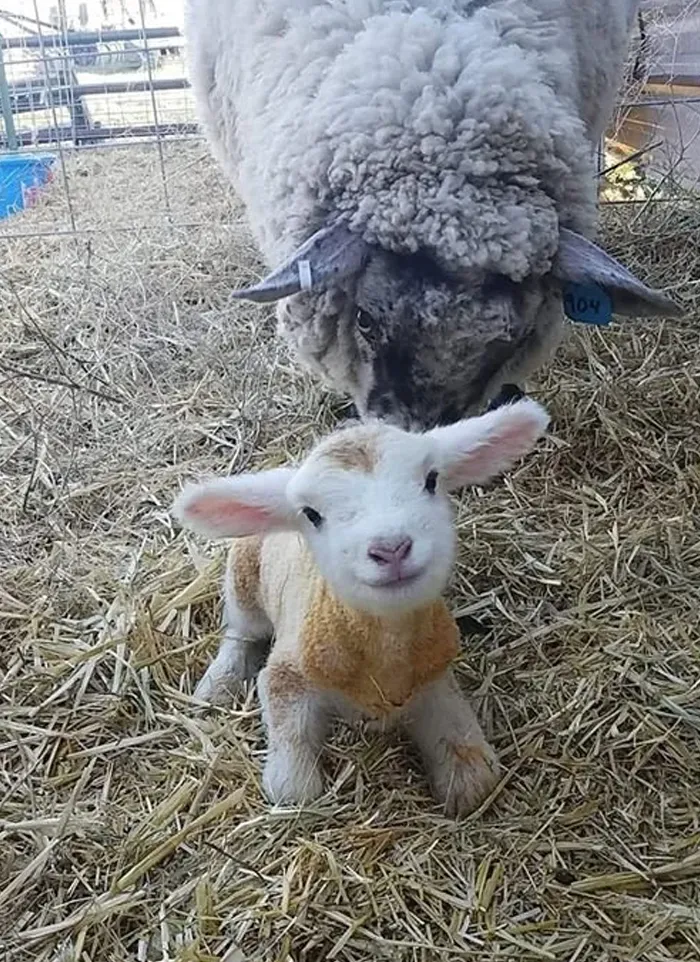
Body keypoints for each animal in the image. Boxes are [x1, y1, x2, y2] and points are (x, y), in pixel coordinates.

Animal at [172, 397, 549, 814]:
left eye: (431, 480)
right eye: (311, 514)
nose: (391, 548)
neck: (385, 651)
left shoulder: (433, 676)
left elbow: (472, 767)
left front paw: (463, 779)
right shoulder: (288, 674)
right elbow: (293, 787)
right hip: (243, 578)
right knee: (240, 632)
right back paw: (218, 684)